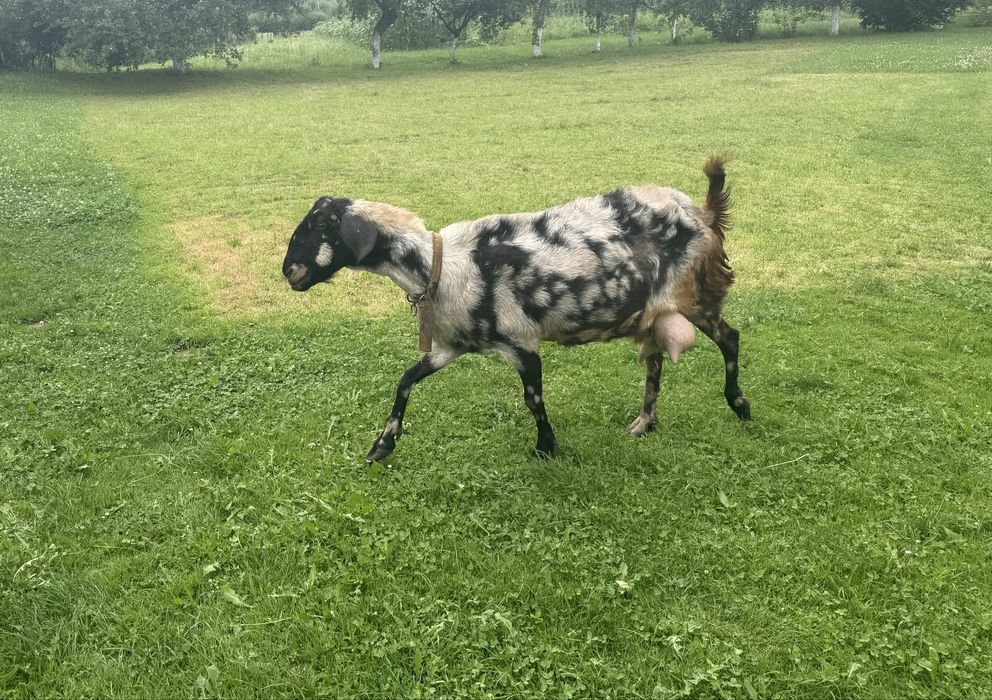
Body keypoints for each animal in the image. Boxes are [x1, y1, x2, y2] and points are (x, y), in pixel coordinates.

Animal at [282, 157, 750, 462]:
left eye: (318, 228)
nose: (288, 271)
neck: (440, 264)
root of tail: (704, 214)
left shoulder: (522, 342)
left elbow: (533, 399)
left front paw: (546, 447)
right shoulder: (451, 346)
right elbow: (406, 380)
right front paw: (383, 445)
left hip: (695, 296)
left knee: (730, 338)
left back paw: (740, 406)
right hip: (652, 313)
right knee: (655, 363)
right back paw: (643, 423)